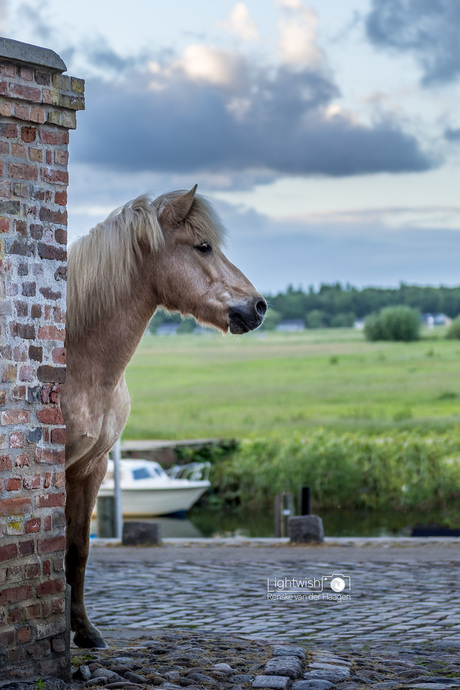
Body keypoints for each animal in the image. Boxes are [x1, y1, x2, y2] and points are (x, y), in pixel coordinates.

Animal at [63, 185, 268, 648]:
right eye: (203, 246)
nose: (259, 306)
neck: (78, 358)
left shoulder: (90, 467)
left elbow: (77, 548)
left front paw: (85, 631)